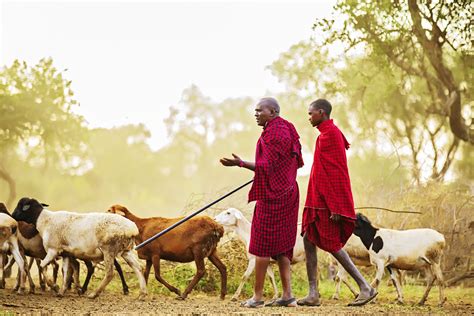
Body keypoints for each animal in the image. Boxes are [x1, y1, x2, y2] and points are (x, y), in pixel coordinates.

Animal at [11, 198, 148, 298]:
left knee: (110, 273)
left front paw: (54, 286)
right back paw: (142, 293)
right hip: (126, 250)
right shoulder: (65, 253)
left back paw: (94, 294)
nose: (12, 216)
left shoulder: (53, 249)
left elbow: (42, 266)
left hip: (108, 249)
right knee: (138, 267)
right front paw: (61, 291)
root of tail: (132, 229)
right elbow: (66, 272)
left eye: (20, 206)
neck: (45, 220)